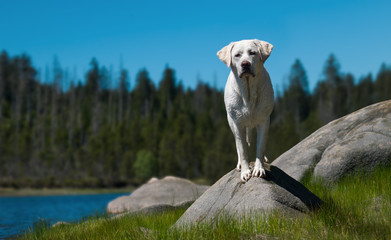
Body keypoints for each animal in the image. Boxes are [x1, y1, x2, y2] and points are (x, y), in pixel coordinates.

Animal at [217, 39, 276, 182]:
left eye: (252, 53)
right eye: (237, 55)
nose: (245, 64)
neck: (248, 91)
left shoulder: (264, 121)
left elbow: (260, 147)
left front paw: (259, 169)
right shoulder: (238, 125)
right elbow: (242, 150)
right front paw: (245, 172)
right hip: (232, 123)